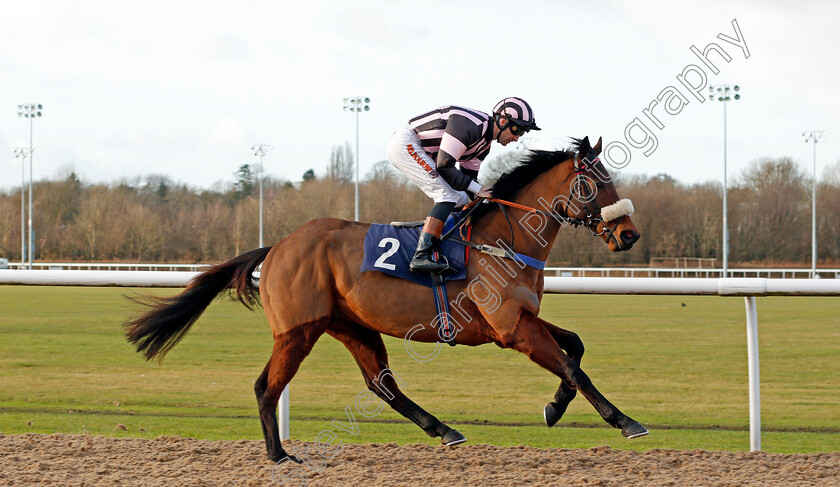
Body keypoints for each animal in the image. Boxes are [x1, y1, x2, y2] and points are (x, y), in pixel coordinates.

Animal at [124, 135, 648, 464]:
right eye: (596, 182)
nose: (629, 234)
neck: (505, 237)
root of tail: (276, 246)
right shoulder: (511, 327)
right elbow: (573, 367)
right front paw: (625, 421)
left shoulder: (521, 319)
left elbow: (575, 347)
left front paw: (554, 409)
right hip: (298, 331)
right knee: (266, 387)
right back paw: (278, 455)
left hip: (352, 326)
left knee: (382, 385)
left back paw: (444, 429)